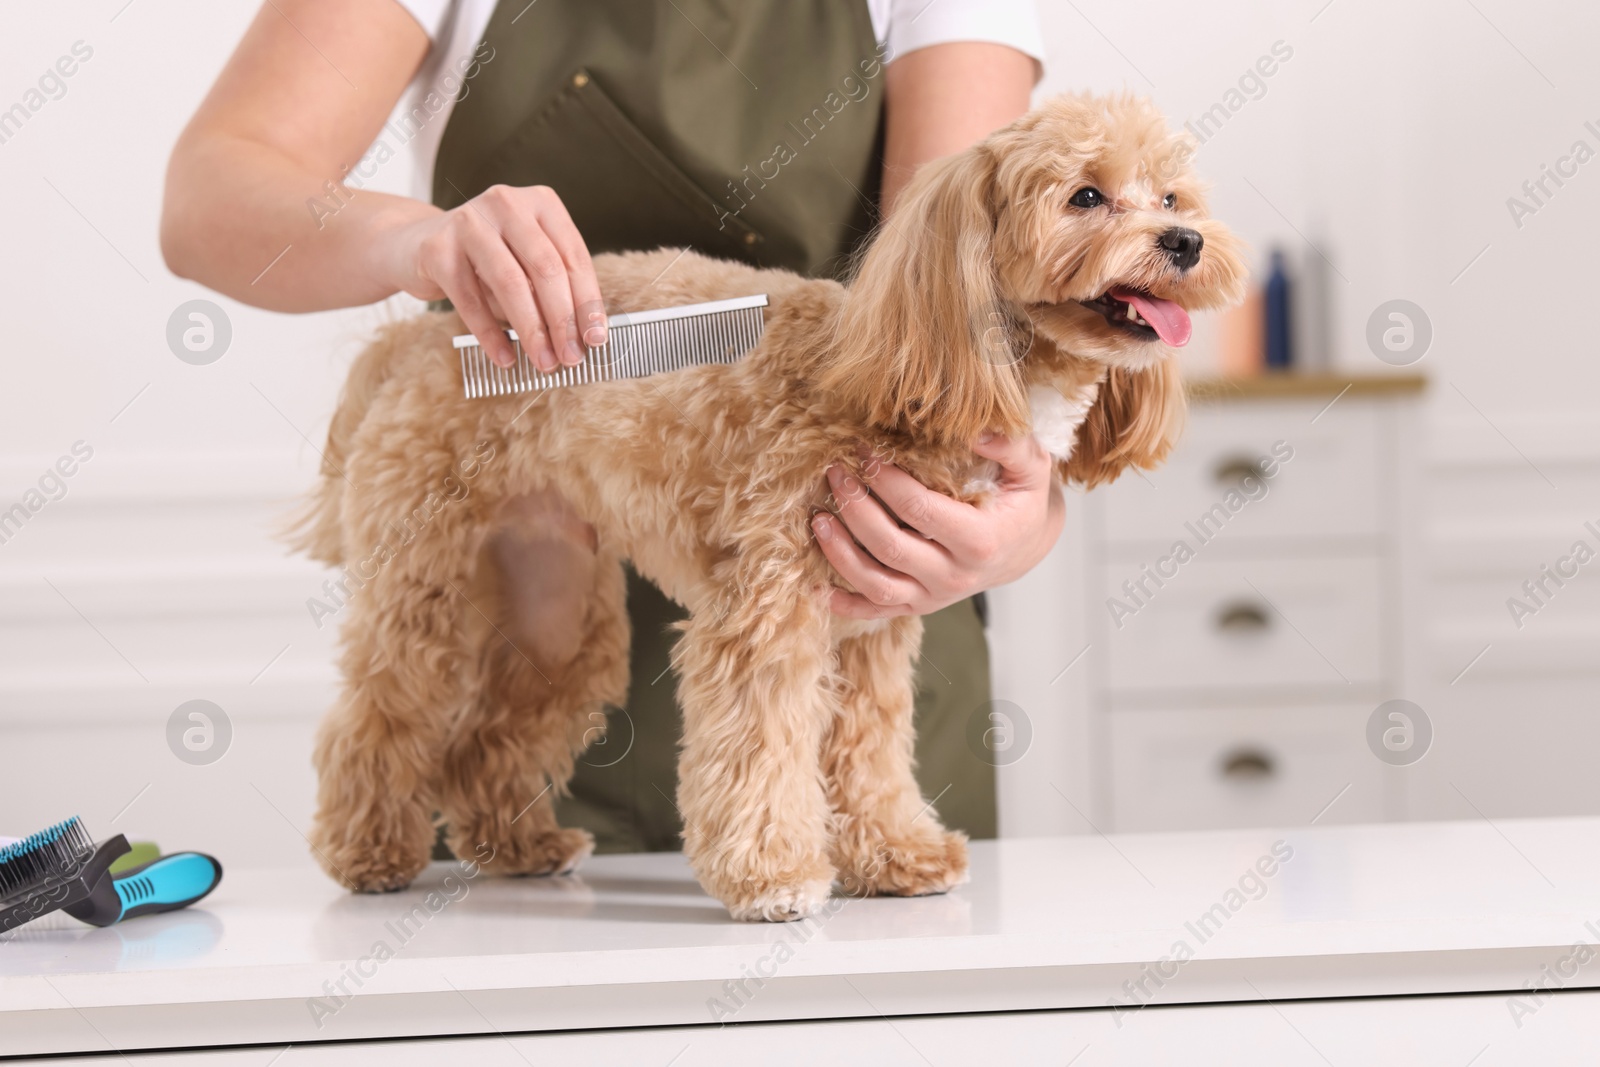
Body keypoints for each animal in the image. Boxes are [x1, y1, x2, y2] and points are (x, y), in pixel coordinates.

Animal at [300, 95, 1248, 921]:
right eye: (1085, 195)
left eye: (1171, 195)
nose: (1186, 240)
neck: (908, 364)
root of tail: (425, 334)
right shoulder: (767, 609)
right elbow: (760, 746)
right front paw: (774, 876)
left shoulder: (871, 626)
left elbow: (868, 753)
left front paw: (896, 855)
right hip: (425, 585)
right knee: (377, 717)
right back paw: (368, 853)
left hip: (553, 612)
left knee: (483, 737)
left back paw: (519, 845)